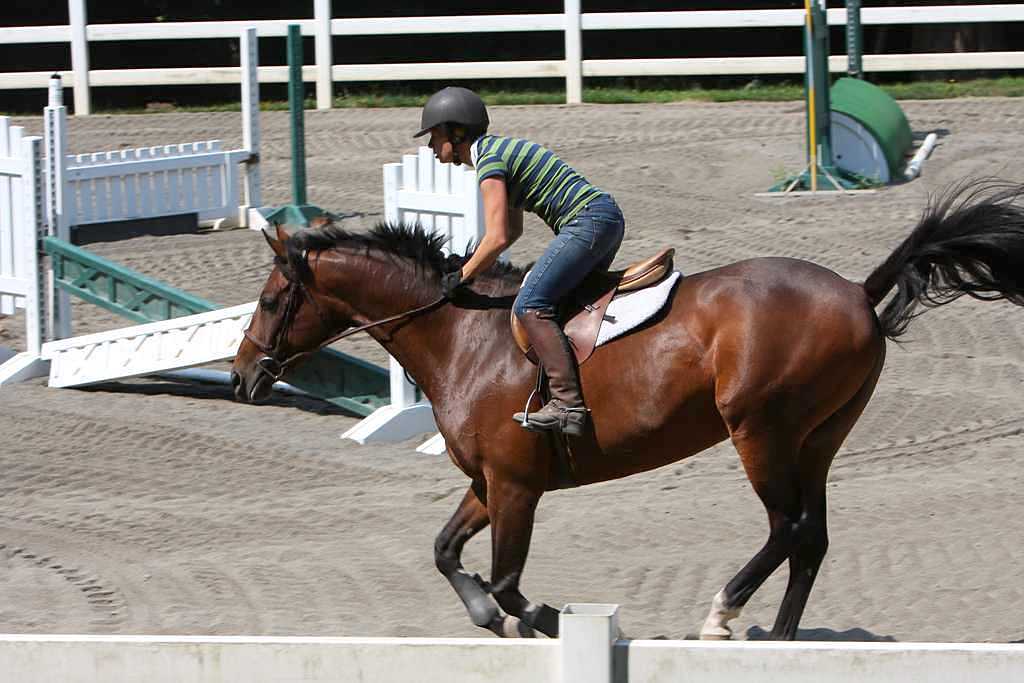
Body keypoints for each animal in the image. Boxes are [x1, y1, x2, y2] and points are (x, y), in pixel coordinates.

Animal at [230, 180, 1024, 643]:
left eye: (269, 301)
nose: (241, 377)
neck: (461, 336)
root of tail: (858, 291)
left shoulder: (516, 487)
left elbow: (507, 580)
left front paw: (541, 618)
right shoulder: (489, 483)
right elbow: (446, 551)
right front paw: (487, 615)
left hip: (760, 430)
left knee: (787, 527)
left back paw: (722, 612)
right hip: (817, 439)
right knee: (811, 537)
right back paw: (777, 639)